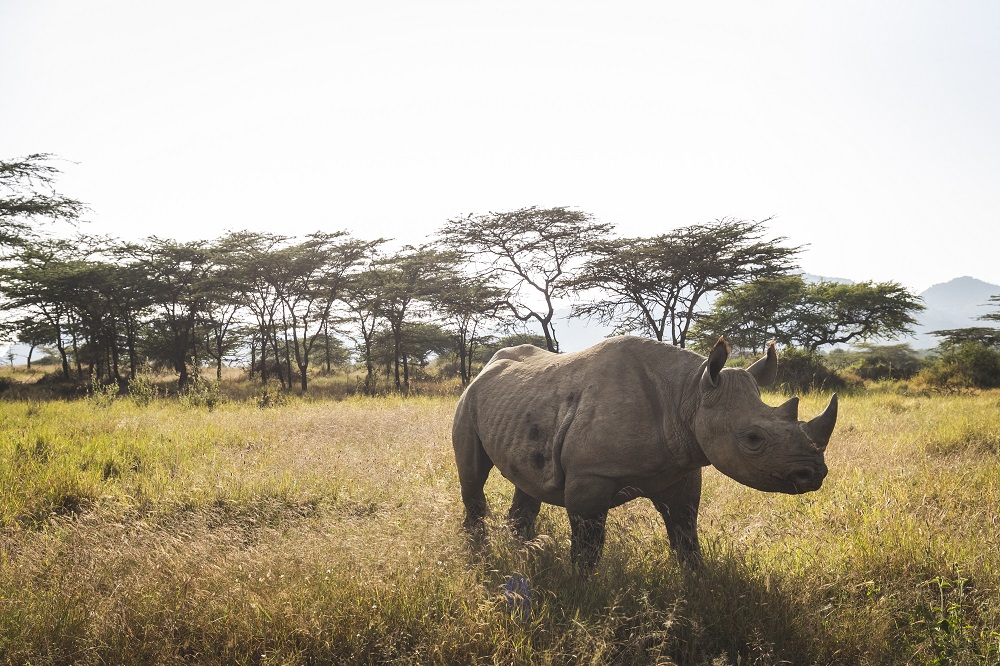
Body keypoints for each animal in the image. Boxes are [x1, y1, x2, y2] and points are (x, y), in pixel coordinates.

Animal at [454, 338, 836, 572]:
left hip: (520, 406)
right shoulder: (591, 474)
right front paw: (581, 592)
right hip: (469, 398)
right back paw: (480, 555)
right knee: (473, 477)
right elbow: (588, 545)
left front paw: (697, 583)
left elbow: (685, 533)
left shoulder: (681, 469)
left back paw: (520, 551)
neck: (689, 393)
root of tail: (486, 367)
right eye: (753, 438)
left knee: (526, 479)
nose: (813, 474)